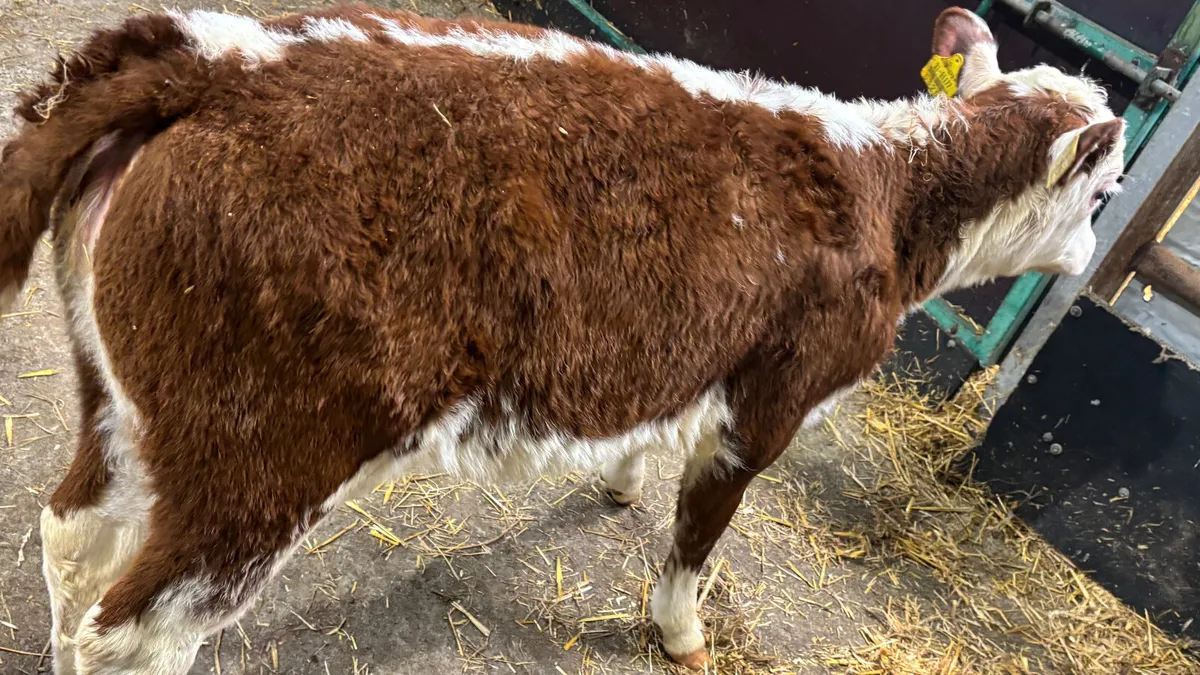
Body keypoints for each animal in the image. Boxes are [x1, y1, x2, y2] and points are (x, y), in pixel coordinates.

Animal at [0, 4, 1124, 673]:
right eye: (1106, 191)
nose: (1090, 256)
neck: (886, 189)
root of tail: (216, 56)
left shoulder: (690, 356)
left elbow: (649, 439)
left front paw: (621, 480)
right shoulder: (769, 401)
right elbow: (696, 541)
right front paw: (680, 632)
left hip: (126, 398)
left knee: (70, 536)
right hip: (261, 452)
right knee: (134, 631)